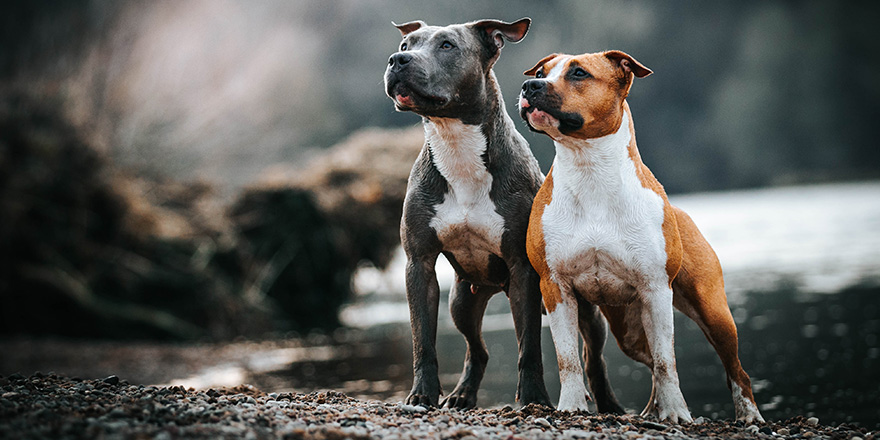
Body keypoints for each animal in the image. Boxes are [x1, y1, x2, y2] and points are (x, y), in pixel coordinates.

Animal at [520, 50, 760, 422]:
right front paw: (571, 406)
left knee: (735, 368)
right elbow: (568, 359)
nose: (530, 85)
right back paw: (649, 413)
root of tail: (679, 211)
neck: (589, 170)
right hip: (628, 330)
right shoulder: (555, 287)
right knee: (646, 361)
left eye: (578, 73)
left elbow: (666, 362)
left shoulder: (656, 289)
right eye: (542, 72)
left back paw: (749, 415)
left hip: (713, 311)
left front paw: (676, 412)